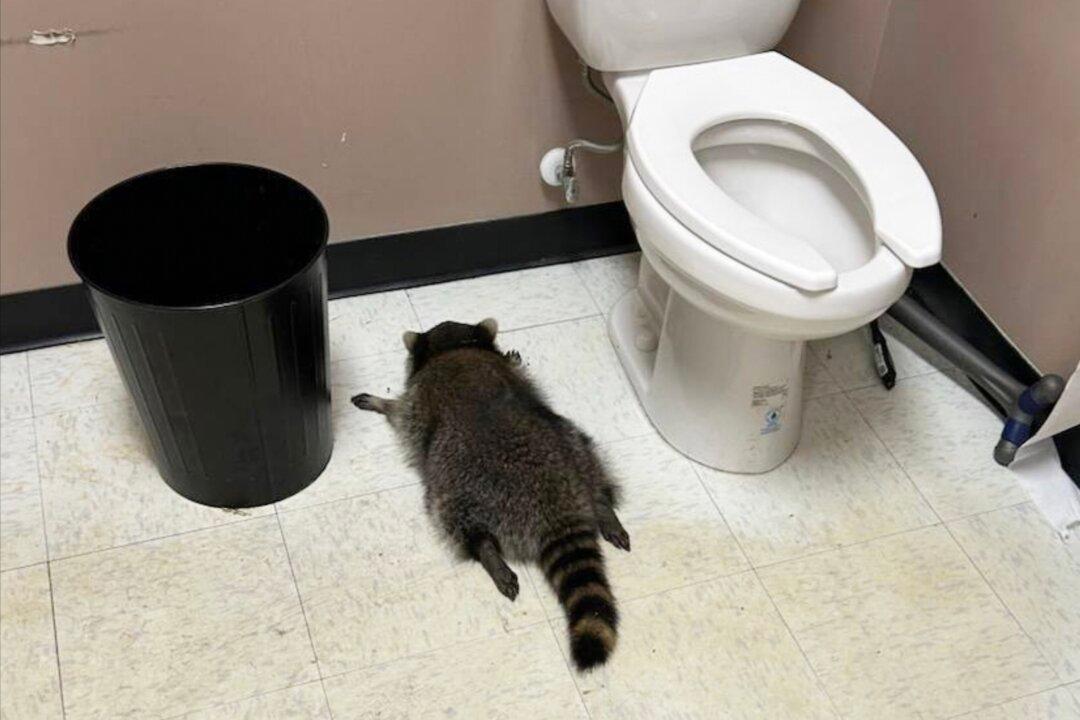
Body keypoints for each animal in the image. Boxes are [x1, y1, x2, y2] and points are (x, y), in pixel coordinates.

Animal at [351, 318, 630, 671]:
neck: (455, 347)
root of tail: (555, 505)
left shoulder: (417, 401)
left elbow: (400, 412)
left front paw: (381, 403)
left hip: (458, 485)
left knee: (455, 519)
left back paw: (487, 551)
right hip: (572, 443)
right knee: (590, 459)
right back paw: (604, 506)